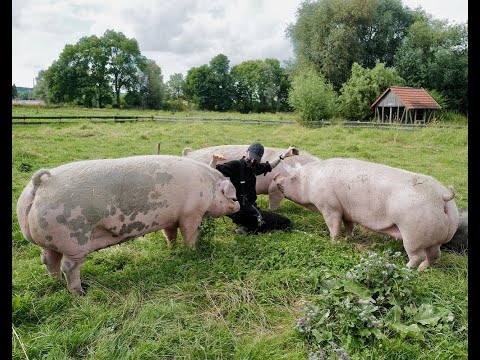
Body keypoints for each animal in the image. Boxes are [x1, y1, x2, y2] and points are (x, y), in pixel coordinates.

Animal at [15, 153, 240, 294]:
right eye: (233, 196)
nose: (238, 206)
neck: (209, 188)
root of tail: (40, 183)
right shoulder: (191, 213)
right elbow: (190, 233)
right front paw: (192, 251)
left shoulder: (171, 217)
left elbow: (170, 233)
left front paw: (173, 249)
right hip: (73, 238)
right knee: (69, 266)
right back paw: (79, 292)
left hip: (48, 240)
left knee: (48, 260)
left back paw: (57, 283)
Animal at [272, 158, 460, 270]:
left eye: (293, 178)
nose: (275, 177)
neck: (310, 182)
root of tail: (442, 197)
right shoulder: (347, 212)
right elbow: (348, 225)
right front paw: (347, 239)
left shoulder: (330, 207)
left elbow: (333, 225)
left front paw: (333, 242)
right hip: (434, 238)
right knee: (434, 255)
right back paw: (422, 270)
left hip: (413, 234)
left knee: (417, 256)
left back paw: (405, 268)